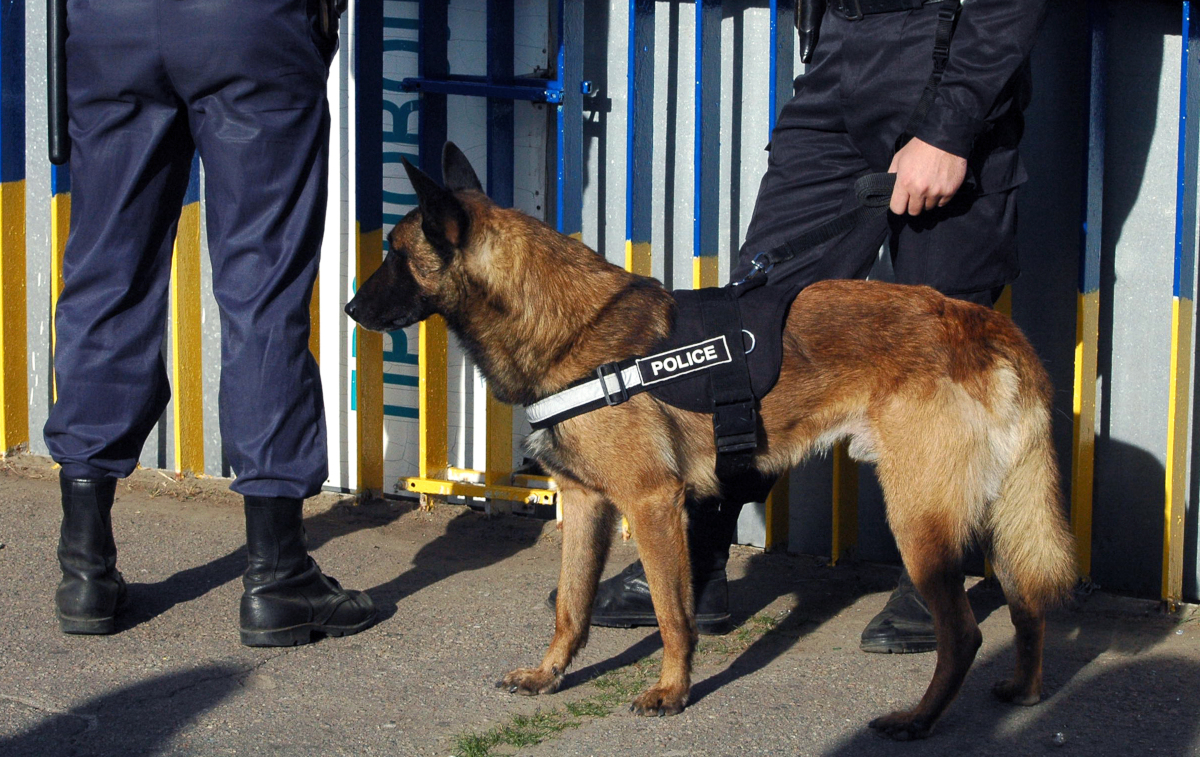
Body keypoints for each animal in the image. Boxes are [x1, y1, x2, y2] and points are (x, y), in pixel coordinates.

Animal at [348, 142, 1080, 739]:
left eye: (395, 255)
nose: (351, 310)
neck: (571, 326)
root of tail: (984, 322)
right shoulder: (585, 504)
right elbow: (572, 609)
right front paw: (548, 674)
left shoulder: (651, 503)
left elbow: (675, 614)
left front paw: (672, 692)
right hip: (997, 513)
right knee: (1026, 605)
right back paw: (1024, 689)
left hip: (919, 515)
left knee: (963, 633)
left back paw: (918, 719)